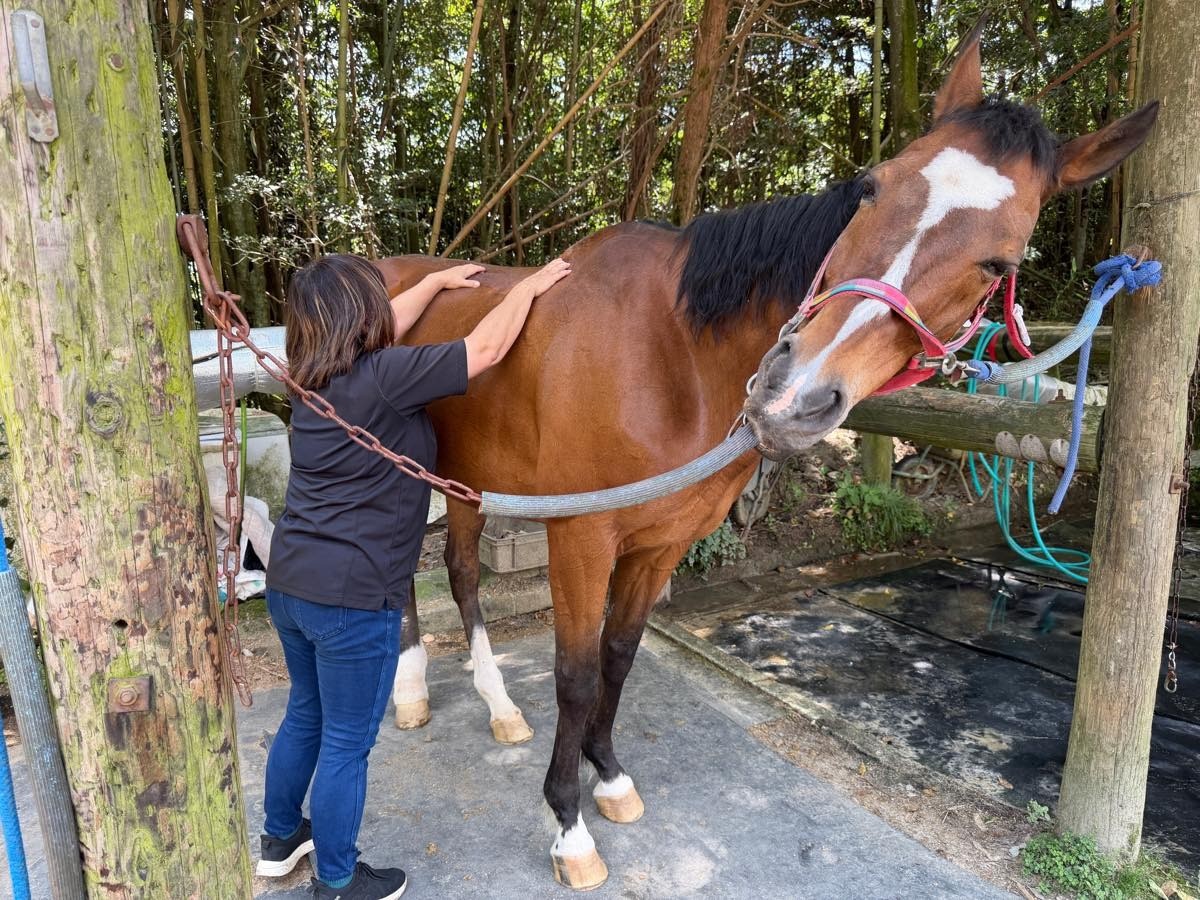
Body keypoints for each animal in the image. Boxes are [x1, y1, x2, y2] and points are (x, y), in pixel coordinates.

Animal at [373, 26, 1157, 890]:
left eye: (1001, 262)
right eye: (871, 188)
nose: (792, 395)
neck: (672, 352)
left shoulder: (661, 542)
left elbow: (618, 658)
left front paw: (607, 777)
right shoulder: (580, 539)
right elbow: (575, 678)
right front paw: (569, 827)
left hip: (468, 479)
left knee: (461, 571)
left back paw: (499, 707)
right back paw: (411, 693)